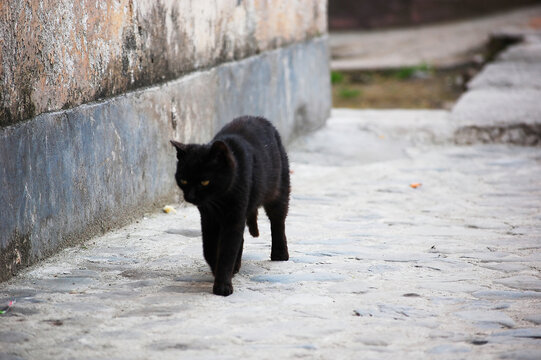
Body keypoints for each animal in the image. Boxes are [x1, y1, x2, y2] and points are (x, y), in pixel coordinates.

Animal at [170, 116, 288, 296]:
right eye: (183, 180)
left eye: (205, 181)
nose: (190, 196)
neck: (219, 200)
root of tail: (259, 119)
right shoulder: (208, 218)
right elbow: (209, 248)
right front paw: (218, 268)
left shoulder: (234, 216)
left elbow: (227, 250)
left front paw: (223, 285)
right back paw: (237, 266)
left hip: (278, 192)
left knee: (278, 222)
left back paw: (280, 254)